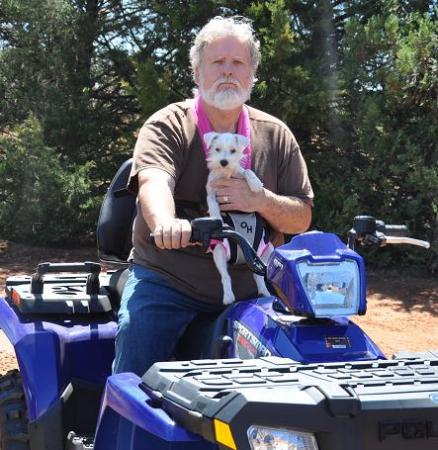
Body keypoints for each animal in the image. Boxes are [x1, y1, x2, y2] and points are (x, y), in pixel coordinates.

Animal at [204, 132, 272, 304]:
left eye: (233, 151)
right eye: (217, 149)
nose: (223, 161)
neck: (226, 173)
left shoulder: (240, 175)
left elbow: (247, 171)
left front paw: (255, 183)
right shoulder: (211, 191)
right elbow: (212, 204)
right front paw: (216, 217)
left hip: (267, 250)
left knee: (259, 274)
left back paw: (264, 292)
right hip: (219, 251)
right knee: (226, 276)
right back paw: (229, 297)